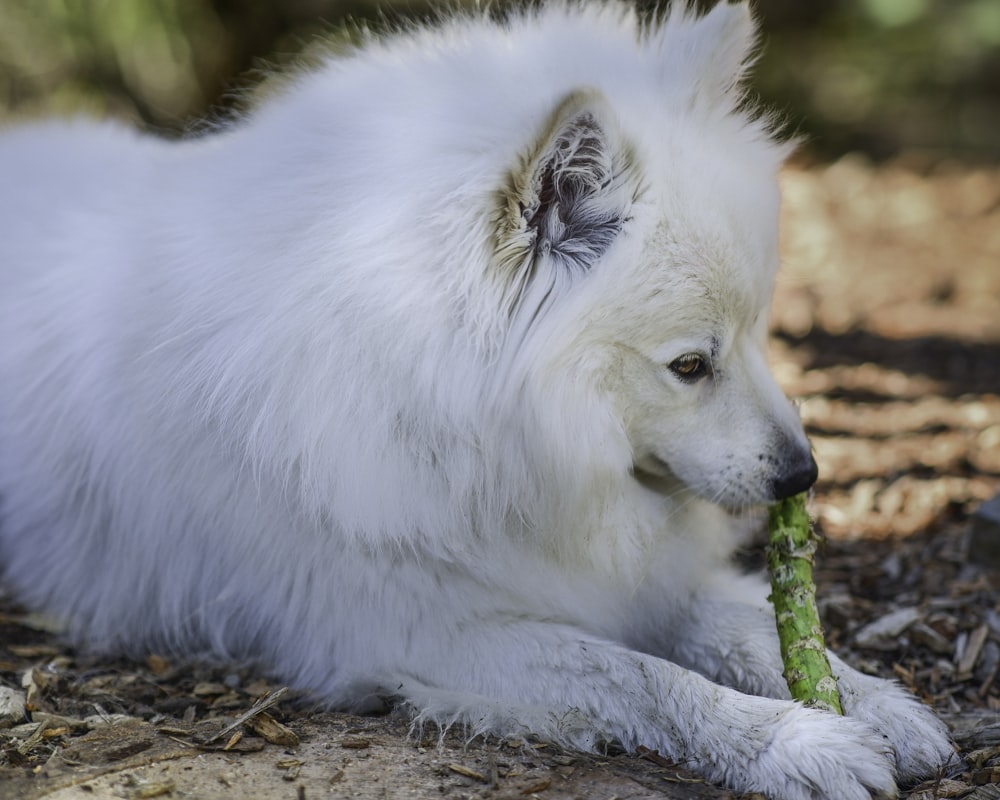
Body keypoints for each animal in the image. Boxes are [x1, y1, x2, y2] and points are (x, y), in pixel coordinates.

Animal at [0, 3, 952, 796]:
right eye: (689, 365)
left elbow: (744, 629)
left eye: (759, 333)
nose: (804, 476)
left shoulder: (630, 576)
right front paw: (792, 742)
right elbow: (641, 675)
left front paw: (878, 704)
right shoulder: (417, 628)